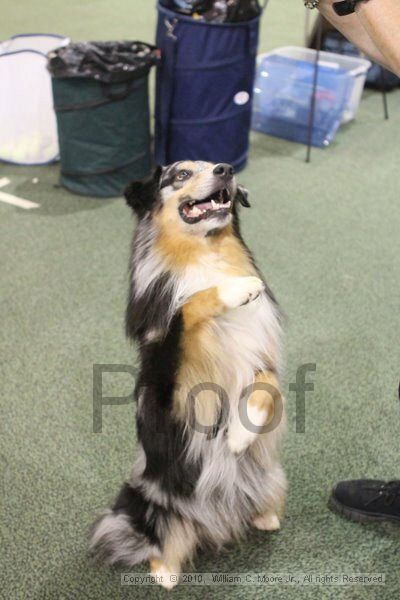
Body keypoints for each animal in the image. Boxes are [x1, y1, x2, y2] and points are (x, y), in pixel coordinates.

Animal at [89, 159, 286, 592]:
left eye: (214, 164)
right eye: (180, 174)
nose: (226, 169)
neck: (205, 254)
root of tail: (214, 525)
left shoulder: (263, 360)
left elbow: (267, 386)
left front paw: (240, 434)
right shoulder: (168, 379)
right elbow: (189, 305)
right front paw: (238, 287)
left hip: (270, 476)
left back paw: (263, 516)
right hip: (147, 502)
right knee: (155, 541)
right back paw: (165, 571)